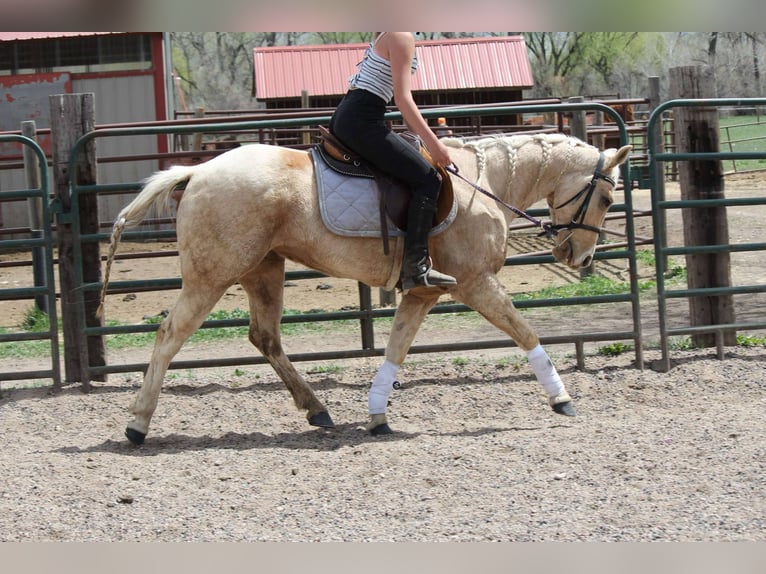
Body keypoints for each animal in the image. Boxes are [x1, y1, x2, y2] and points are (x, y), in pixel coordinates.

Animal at [101, 132, 631, 445]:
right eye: (607, 197)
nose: (580, 258)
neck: (484, 184)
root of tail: (198, 170)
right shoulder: (477, 283)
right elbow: (525, 333)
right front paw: (562, 398)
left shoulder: (422, 292)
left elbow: (396, 348)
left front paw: (377, 416)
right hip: (212, 275)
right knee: (170, 335)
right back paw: (137, 424)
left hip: (263, 271)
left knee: (265, 338)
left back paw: (317, 411)